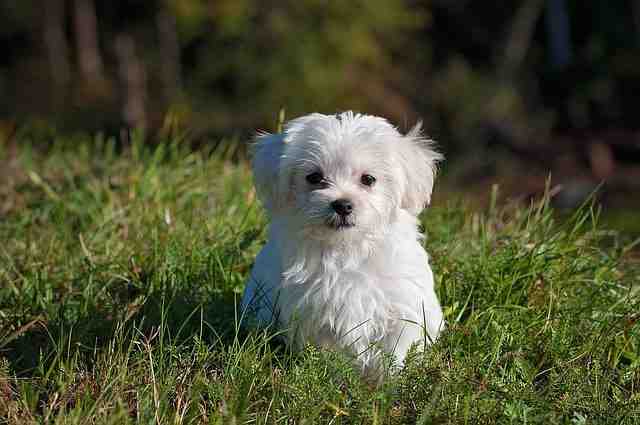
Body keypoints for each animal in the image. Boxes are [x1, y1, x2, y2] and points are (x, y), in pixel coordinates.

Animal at [240, 111, 444, 372]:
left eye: (368, 179)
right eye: (314, 177)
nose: (343, 204)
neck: (347, 248)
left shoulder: (402, 307)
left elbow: (396, 350)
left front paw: (390, 379)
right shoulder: (313, 312)